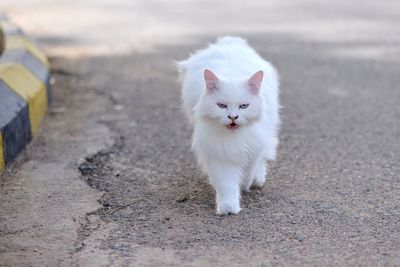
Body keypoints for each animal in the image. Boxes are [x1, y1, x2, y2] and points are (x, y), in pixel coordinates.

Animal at [178, 37, 282, 216]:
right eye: (222, 106)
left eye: (244, 106)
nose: (233, 117)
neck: (234, 138)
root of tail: (229, 41)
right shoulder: (219, 154)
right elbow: (227, 184)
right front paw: (228, 208)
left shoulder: (253, 149)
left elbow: (248, 172)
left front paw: (245, 186)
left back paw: (257, 180)